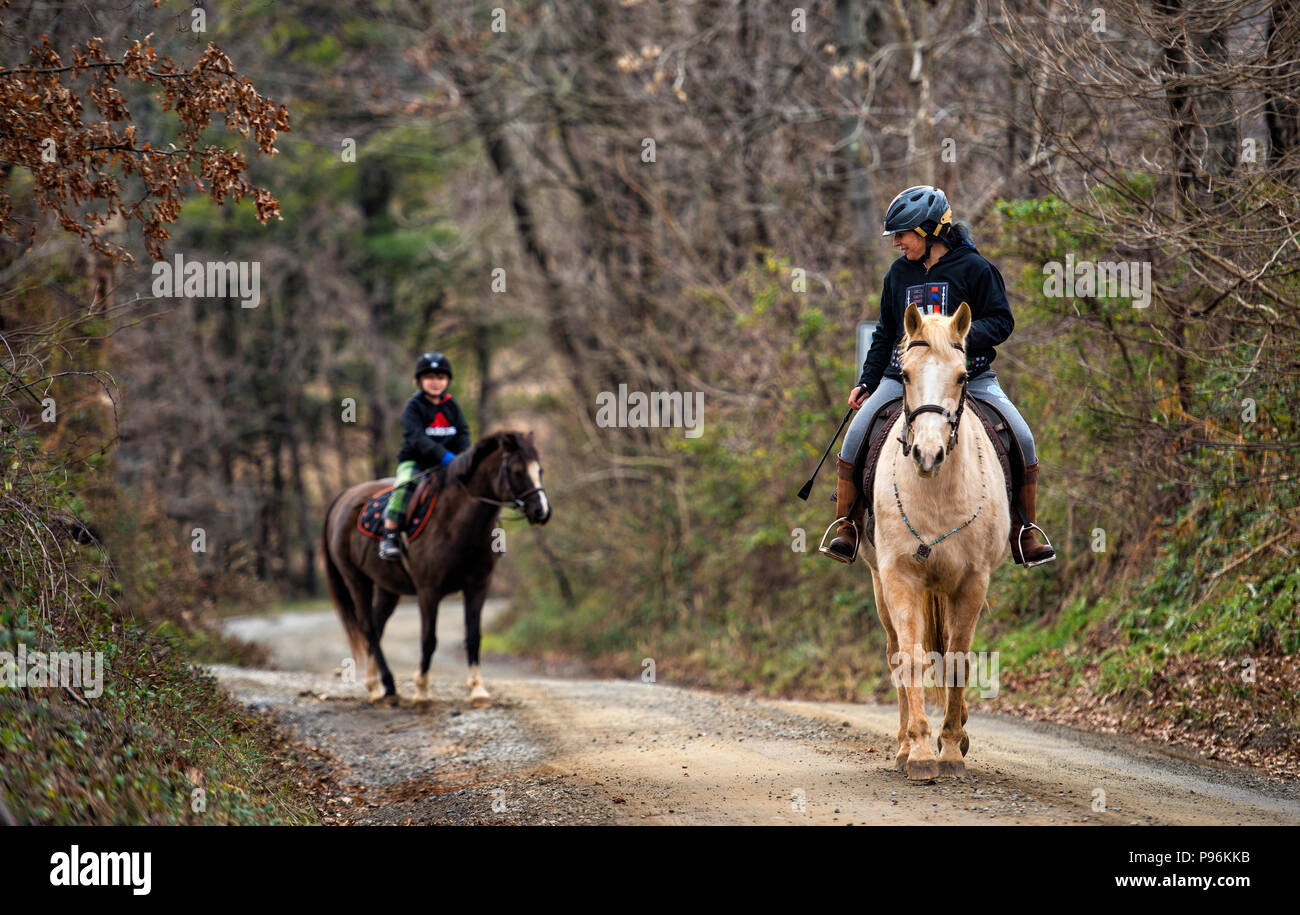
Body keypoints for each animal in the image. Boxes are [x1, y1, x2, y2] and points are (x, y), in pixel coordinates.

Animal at [321, 429, 551, 708]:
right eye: (517, 471)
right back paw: (379, 687)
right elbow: (429, 639)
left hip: (388, 589)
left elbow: (473, 636)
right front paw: (422, 691)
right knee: (368, 627)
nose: (542, 511)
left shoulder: (478, 586)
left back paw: (385, 686)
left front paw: (478, 690)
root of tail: (344, 496)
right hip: (356, 580)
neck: (454, 522)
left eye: (539, 470)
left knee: (376, 626)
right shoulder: (428, 591)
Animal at [860, 302, 1010, 780]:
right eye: (905, 374)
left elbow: (958, 660)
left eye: (962, 375)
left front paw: (950, 751)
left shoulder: (972, 582)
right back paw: (904, 745)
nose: (928, 455)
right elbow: (910, 658)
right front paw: (922, 753)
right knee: (897, 652)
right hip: (880, 584)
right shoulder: (900, 577)